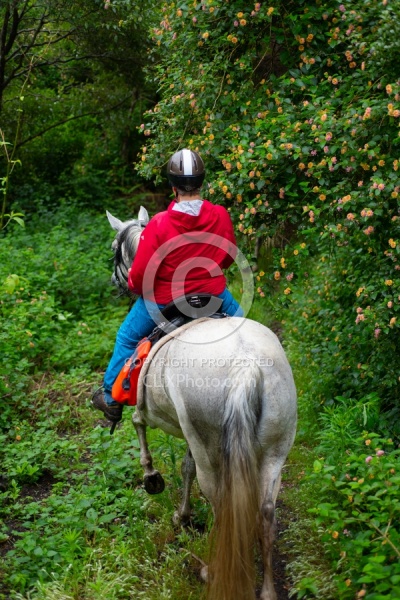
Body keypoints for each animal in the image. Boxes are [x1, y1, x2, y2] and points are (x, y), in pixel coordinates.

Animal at [106, 209, 296, 600]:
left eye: (116, 251)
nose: (118, 282)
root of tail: (246, 364)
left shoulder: (157, 416)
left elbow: (140, 428)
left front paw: (153, 480)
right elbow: (185, 467)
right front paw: (182, 514)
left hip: (209, 441)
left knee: (220, 499)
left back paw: (212, 570)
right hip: (275, 446)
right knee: (266, 511)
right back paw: (267, 589)